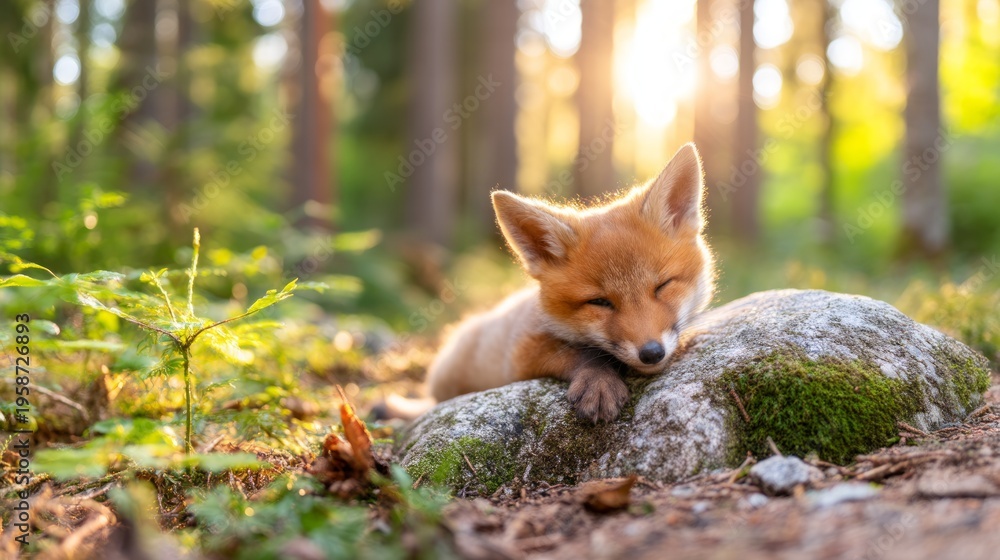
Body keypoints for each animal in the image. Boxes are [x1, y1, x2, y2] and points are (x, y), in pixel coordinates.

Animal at [425, 143, 716, 422]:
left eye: (662, 286)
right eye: (599, 302)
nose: (652, 353)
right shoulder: (521, 352)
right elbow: (585, 352)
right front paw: (598, 381)